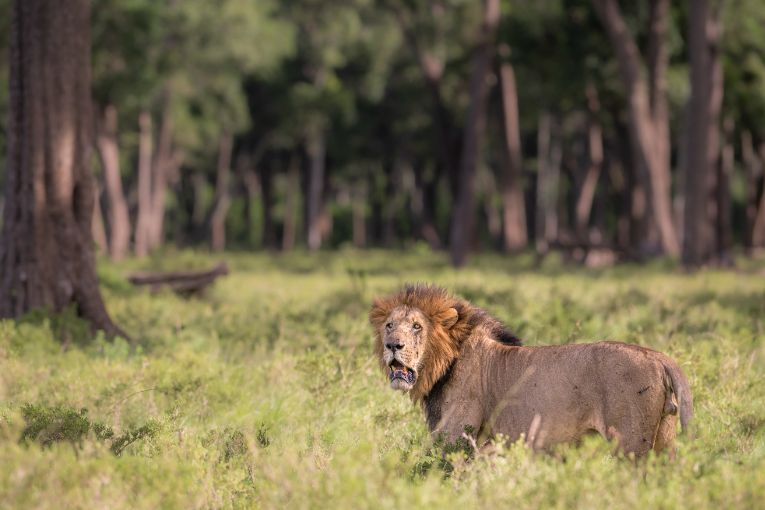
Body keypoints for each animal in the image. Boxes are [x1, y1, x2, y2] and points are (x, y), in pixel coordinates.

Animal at [370, 284, 692, 456]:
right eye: (389, 325)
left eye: (416, 326)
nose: (393, 345)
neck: (443, 365)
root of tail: (657, 356)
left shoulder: (458, 438)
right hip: (663, 440)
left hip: (630, 444)